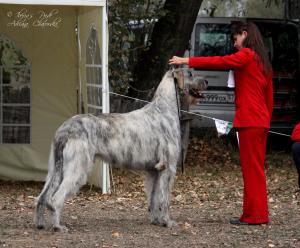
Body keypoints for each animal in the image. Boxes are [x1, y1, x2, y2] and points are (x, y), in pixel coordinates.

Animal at [33, 69, 206, 232]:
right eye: (190, 73)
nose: (207, 81)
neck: (164, 109)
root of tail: (65, 129)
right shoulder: (168, 168)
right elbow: (165, 199)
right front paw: (167, 222)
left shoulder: (154, 170)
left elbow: (153, 197)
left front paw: (155, 220)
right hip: (77, 168)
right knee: (55, 199)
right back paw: (58, 226)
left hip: (55, 168)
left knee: (42, 197)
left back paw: (40, 224)